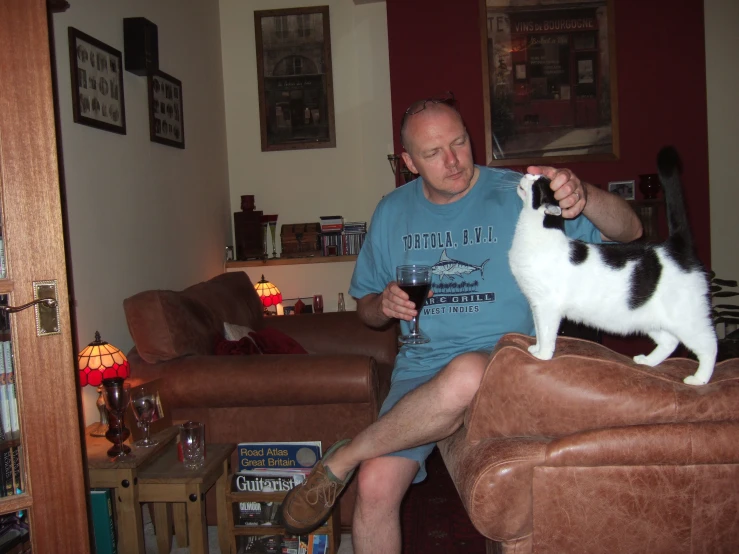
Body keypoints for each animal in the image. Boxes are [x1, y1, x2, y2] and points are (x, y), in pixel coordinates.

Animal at [508, 149, 716, 386]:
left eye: (537, 183)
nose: (527, 172)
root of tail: (674, 247)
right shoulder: (535, 303)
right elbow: (540, 330)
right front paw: (535, 347)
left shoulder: (547, 305)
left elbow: (547, 333)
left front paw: (542, 355)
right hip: (649, 319)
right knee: (669, 342)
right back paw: (647, 362)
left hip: (687, 319)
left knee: (709, 345)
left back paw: (699, 379)